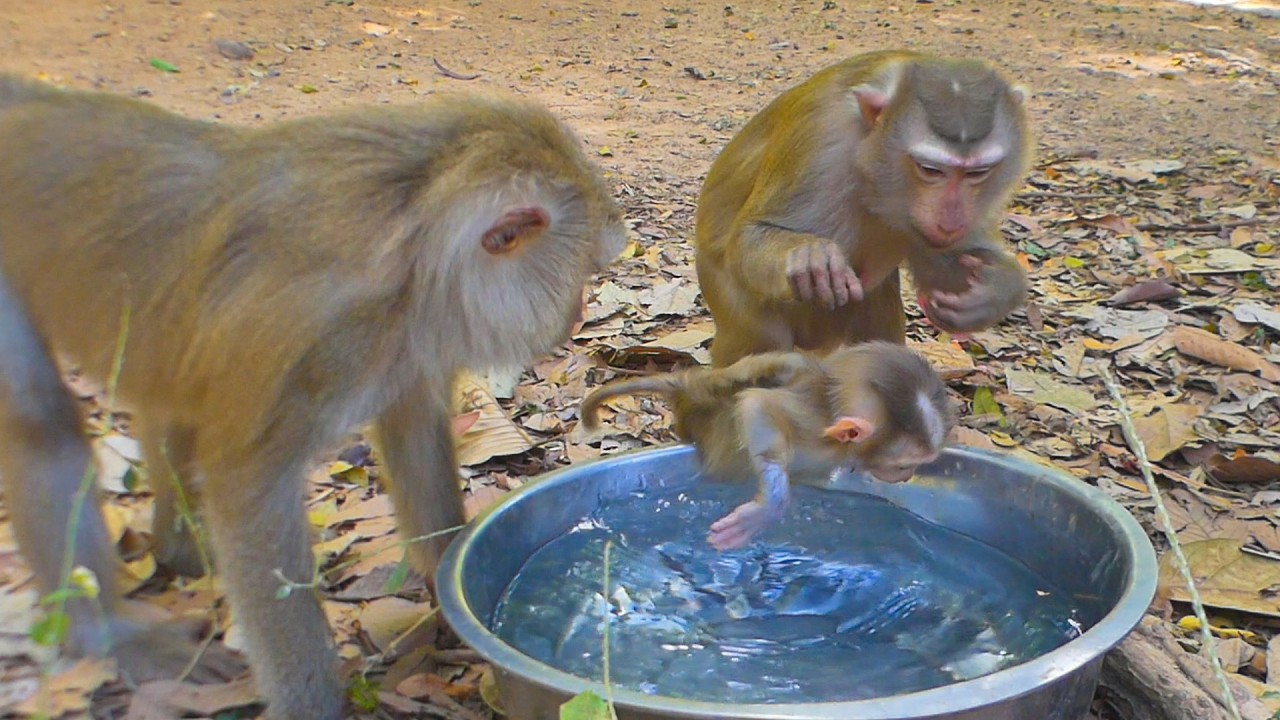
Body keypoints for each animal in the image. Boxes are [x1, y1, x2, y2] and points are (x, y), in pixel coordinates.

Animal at [0, 75, 625, 720]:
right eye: (583, 272)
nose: (577, 313)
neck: (411, 236)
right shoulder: (310, 331)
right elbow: (246, 490)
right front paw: (311, 701)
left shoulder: (405, 332)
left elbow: (411, 429)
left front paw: (448, 578)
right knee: (41, 420)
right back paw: (108, 632)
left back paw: (174, 548)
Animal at [580, 342, 955, 550]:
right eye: (903, 464)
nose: (907, 477)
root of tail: (689, 390)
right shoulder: (814, 427)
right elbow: (757, 405)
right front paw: (771, 505)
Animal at [694, 50, 1032, 367]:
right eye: (930, 170)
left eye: (977, 173)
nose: (950, 221)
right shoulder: (821, 137)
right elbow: (747, 238)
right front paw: (808, 258)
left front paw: (992, 292)